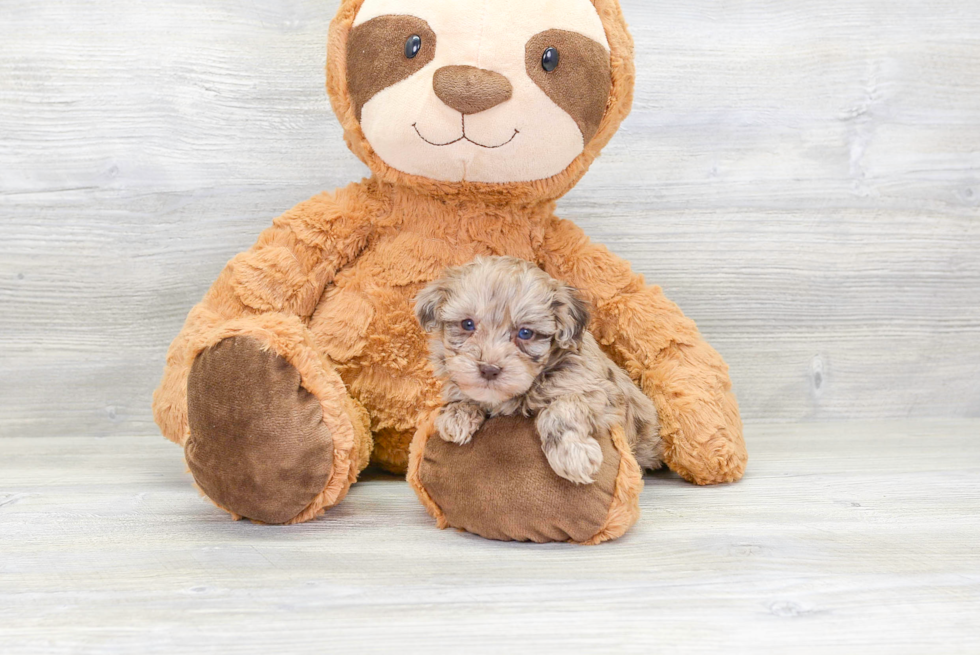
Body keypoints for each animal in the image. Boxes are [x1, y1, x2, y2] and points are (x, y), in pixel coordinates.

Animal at [414, 258, 660, 484]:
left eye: (525, 333)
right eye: (467, 324)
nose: (489, 370)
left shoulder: (599, 391)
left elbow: (560, 410)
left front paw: (572, 454)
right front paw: (457, 414)